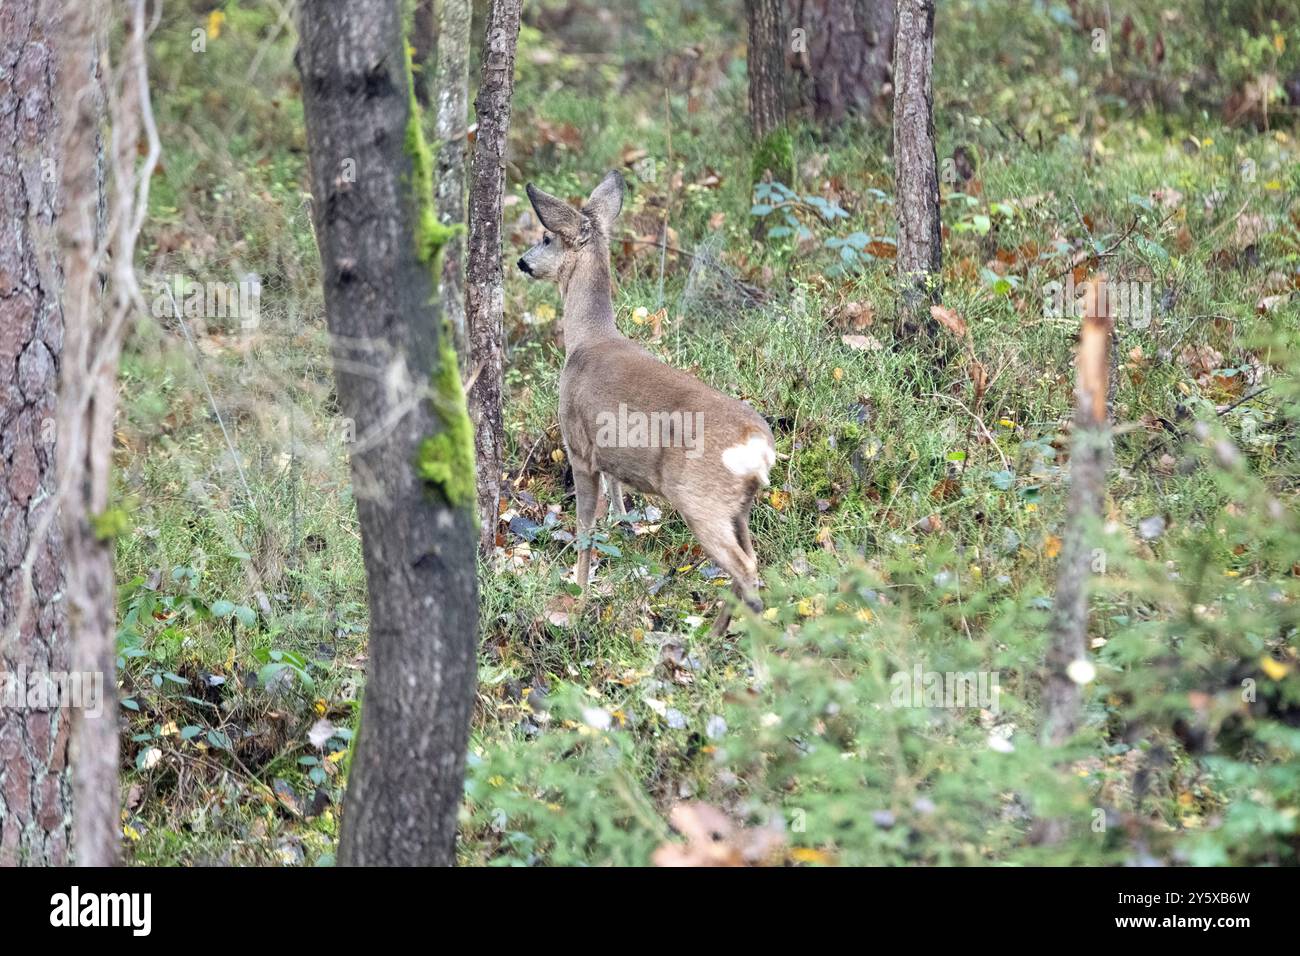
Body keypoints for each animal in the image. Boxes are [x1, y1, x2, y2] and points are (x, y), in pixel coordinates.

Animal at [517, 171, 775, 636]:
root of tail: (759, 448)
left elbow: (585, 525)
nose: (522, 262)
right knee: (752, 558)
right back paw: (716, 633)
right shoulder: (607, 451)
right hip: (739, 506)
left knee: (745, 567)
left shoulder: (578, 445)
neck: (588, 339)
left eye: (546, 237)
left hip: (700, 498)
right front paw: (623, 525)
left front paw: (578, 592)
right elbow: (617, 495)